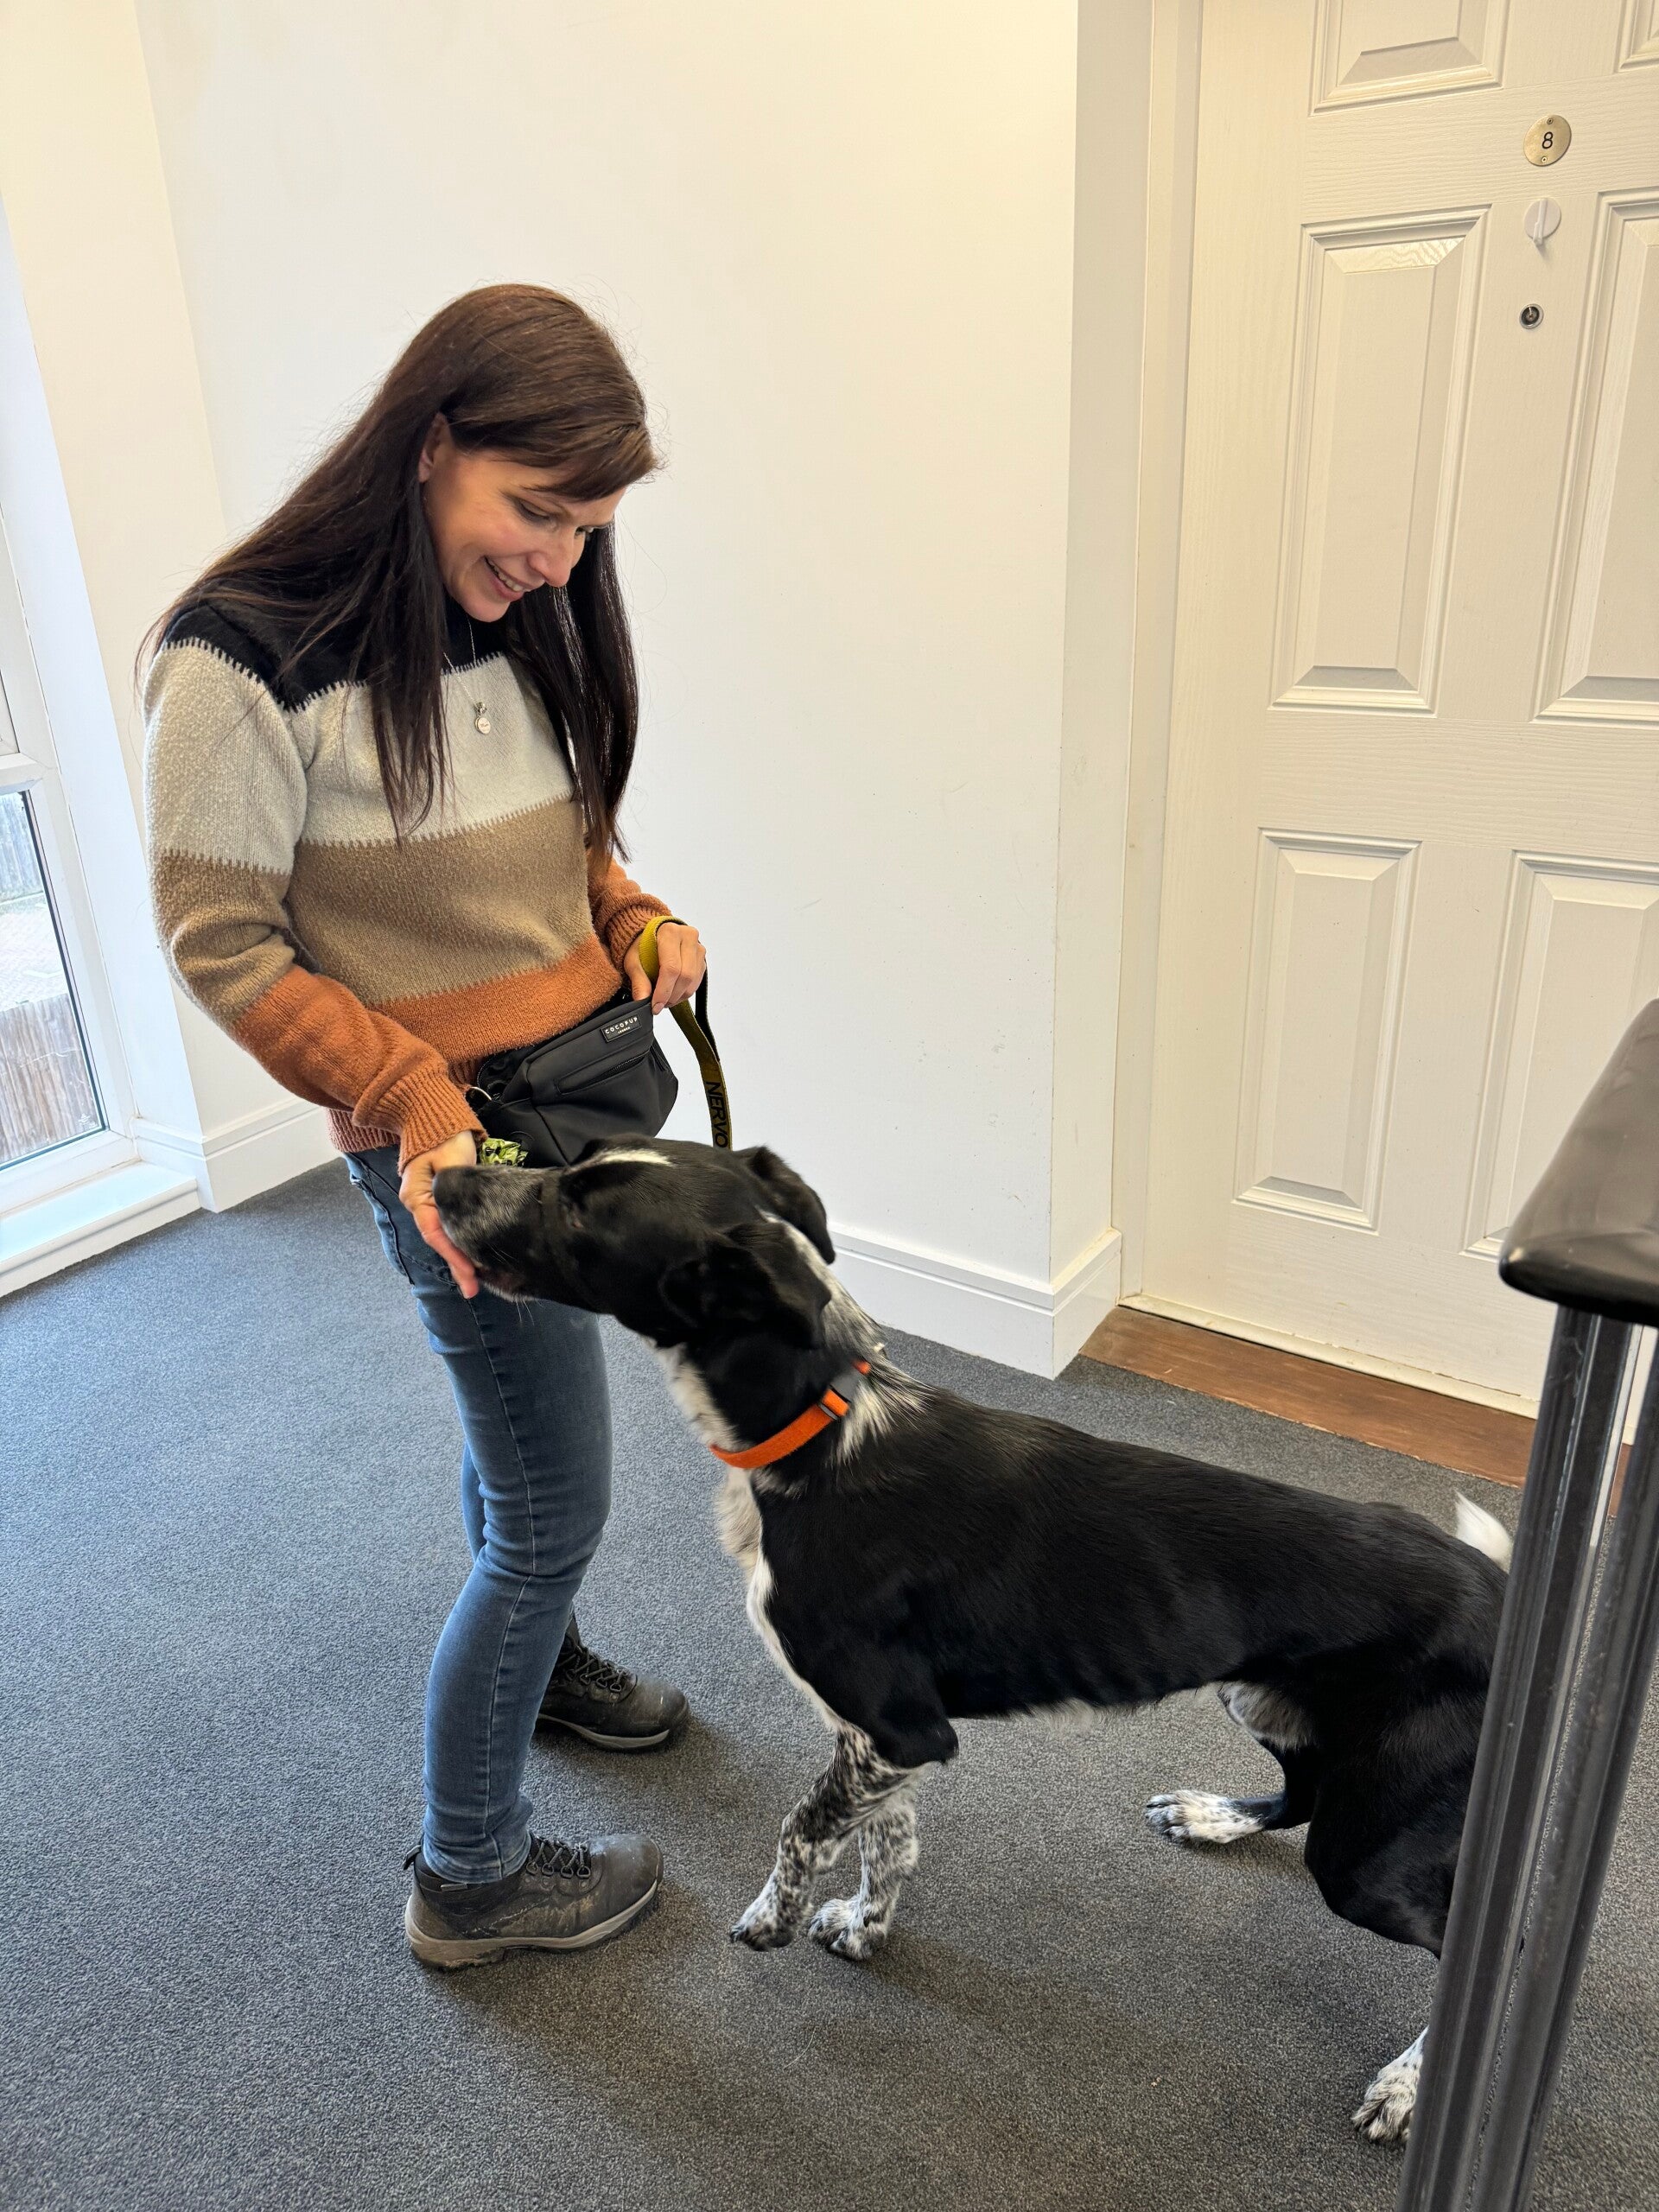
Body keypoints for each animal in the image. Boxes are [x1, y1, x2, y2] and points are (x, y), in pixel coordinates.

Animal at [433, 1137, 1512, 2143]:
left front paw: (774, 1917)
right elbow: (886, 1837)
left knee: (1461, 1941)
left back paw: (1408, 2086)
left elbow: (803, 1826)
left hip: (1369, 1844)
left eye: (583, 1205)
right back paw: (1213, 1817)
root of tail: (1499, 1590)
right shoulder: (884, 1741)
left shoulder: (897, 1729)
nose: (441, 1182)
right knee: (1300, 1794)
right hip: (1269, 1700)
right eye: (571, 1164)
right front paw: (864, 1926)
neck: (817, 1436)